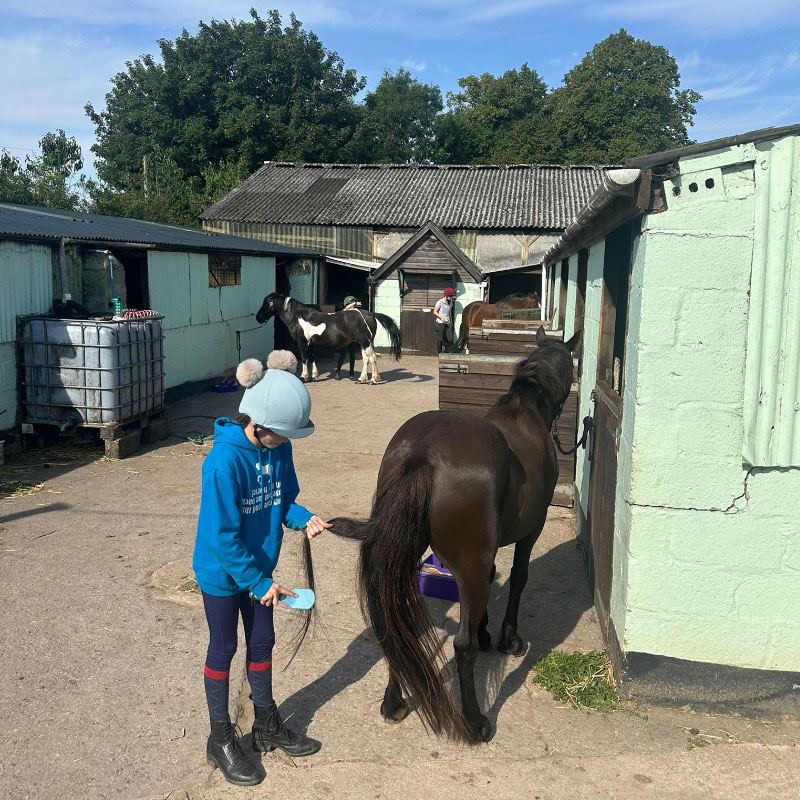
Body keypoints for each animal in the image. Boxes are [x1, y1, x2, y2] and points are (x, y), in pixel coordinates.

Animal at [255, 293, 402, 384]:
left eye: (267, 302)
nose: (258, 317)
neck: (298, 316)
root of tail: (369, 314)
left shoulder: (303, 342)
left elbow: (304, 359)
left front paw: (304, 377)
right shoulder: (311, 344)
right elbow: (312, 358)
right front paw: (314, 376)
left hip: (365, 342)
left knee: (372, 358)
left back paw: (373, 380)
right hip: (363, 343)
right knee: (366, 359)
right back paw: (362, 379)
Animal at [327, 326, 580, 743]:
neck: (526, 414)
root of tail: (421, 454)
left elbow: (493, 580)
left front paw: (486, 631)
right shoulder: (532, 531)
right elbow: (518, 579)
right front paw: (507, 639)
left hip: (402, 561)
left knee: (398, 627)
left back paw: (394, 703)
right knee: (461, 647)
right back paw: (476, 722)